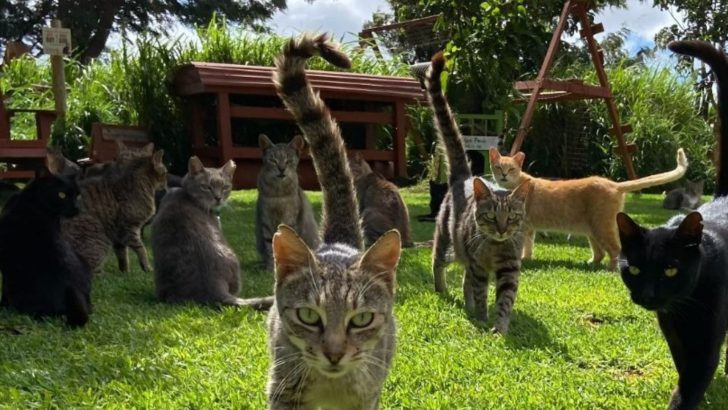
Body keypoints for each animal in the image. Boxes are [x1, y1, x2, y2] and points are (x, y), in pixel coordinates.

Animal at [256, 133, 318, 270]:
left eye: (288, 161)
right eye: (273, 160)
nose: (281, 168)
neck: (278, 193)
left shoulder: (290, 217)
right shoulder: (266, 218)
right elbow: (269, 244)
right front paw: (270, 267)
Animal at [268, 33, 404, 408]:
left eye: (361, 320)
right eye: (308, 316)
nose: (334, 353)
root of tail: (339, 242)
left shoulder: (367, 396)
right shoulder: (282, 391)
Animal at [426, 51, 528, 334]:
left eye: (512, 217)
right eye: (491, 216)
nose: (502, 230)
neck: (496, 247)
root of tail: (464, 177)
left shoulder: (509, 269)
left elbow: (505, 299)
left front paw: (500, 328)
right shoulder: (479, 266)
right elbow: (482, 293)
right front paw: (482, 318)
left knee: (464, 280)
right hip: (446, 241)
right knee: (437, 263)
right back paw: (441, 289)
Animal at [616, 39, 728, 410]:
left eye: (670, 268)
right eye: (634, 269)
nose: (649, 294)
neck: (682, 307)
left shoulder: (707, 339)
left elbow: (693, 381)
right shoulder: (672, 329)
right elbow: (683, 369)